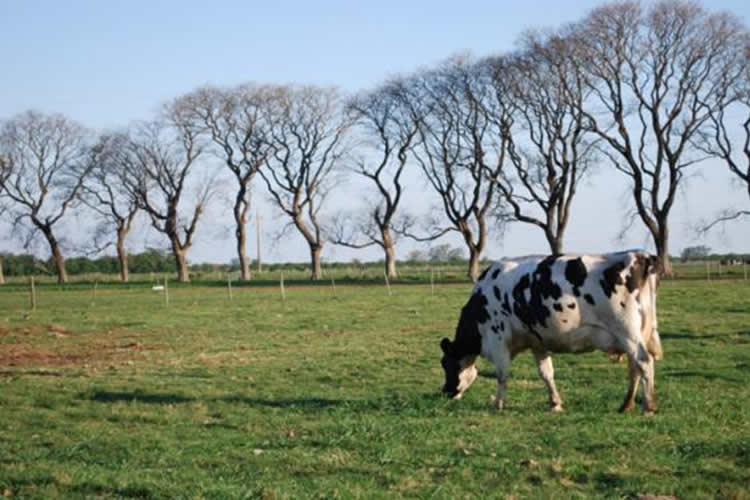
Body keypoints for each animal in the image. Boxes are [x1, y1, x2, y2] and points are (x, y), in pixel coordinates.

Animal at [440, 250, 664, 414]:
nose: (445, 391)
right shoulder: (537, 341)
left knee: (644, 362)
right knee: (634, 367)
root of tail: (639, 255)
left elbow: (502, 374)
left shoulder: (498, 338)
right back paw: (626, 405)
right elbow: (546, 373)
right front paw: (555, 403)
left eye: (446, 364)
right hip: (635, 334)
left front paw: (498, 404)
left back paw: (648, 406)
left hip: (626, 330)